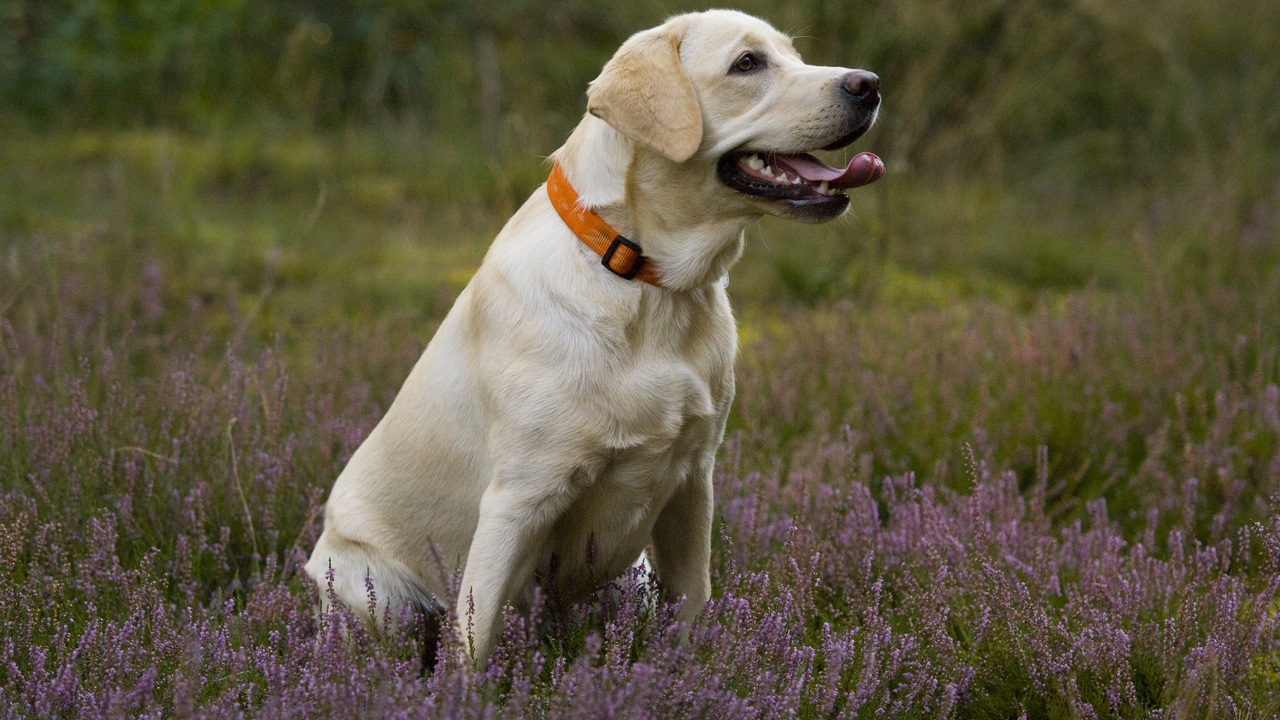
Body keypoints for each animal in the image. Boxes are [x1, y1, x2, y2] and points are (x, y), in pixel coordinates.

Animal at [303, 7, 880, 666]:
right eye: (747, 63)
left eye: (792, 55)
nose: (869, 84)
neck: (649, 283)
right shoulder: (518, 499)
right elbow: (474, 643)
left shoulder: (693, 481)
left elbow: (694, 605)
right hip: (375, 593)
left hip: (635, 576)